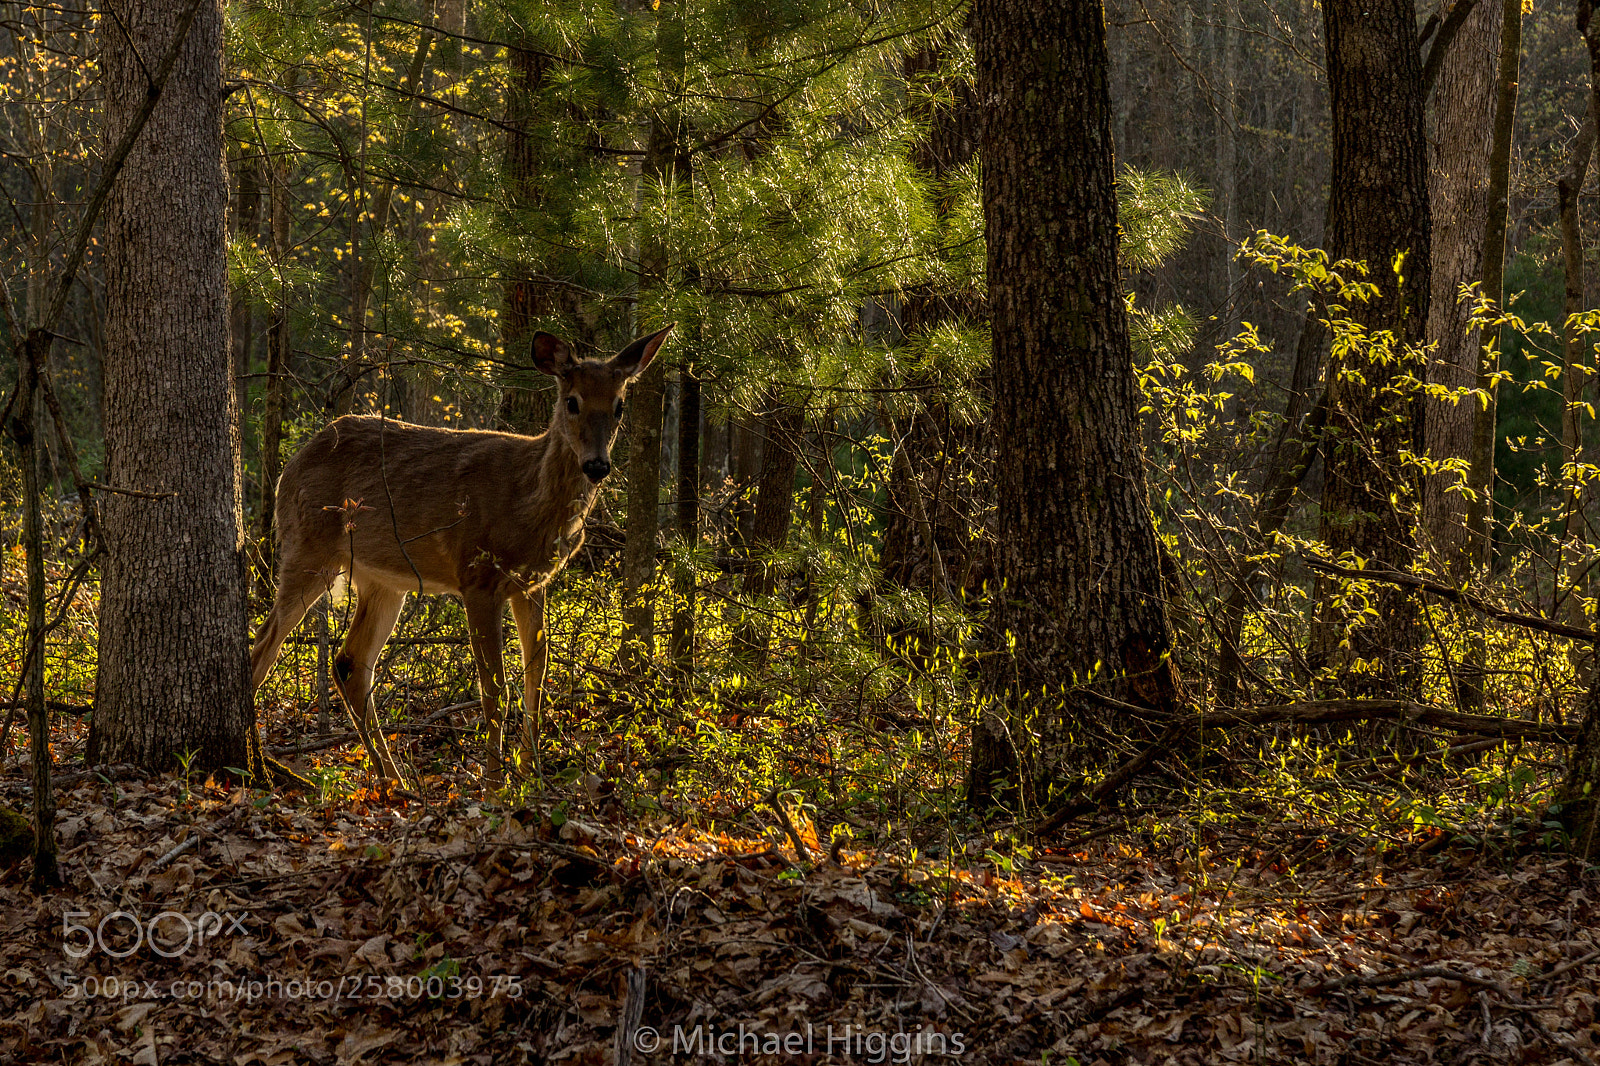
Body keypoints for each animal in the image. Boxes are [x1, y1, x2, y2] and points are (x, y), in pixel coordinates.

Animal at [249, 324, 674, 784]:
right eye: (572, 400)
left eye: (619, 406)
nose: (597, 466)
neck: (529, 502)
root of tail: (291, 464)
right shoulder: (477, 577)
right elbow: (494, 689)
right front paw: (494, 783)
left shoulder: (532, 583)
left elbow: (537, 679)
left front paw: (531, 775)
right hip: (309, 546)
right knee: (263, 645)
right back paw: (257, 761)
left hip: (383, 580)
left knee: (349, 663)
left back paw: (393, 780)